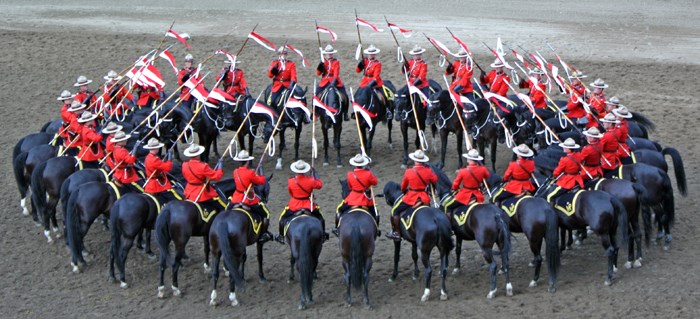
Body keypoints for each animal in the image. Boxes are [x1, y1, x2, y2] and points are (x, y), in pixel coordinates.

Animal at [206, 178, 272, 308]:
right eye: (267, 188)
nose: (265, 200)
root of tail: (223, 222)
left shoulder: (242, 246)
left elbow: (244, 258)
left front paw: (242, 277)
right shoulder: (258, 242)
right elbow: (259, 257)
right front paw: (261, 277)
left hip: (216, 251)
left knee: (215, 273)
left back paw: (213, 298)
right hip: (234, 252)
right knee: (232, 271)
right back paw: (233, 298)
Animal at [338, 180, 378, 308]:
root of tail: (355, 225)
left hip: (346, 256)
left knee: (350, 275)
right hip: (365, 255)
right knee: (363, 275)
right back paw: (364, 300)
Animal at [430, 166, 516, 298]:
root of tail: (497, 215)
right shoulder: (459, 234)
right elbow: (458, 250)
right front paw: (457, 268)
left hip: (485, 248)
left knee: (493, 266)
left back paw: (492, 291)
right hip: (501, 242)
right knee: (506, 262)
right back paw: (509, 288)